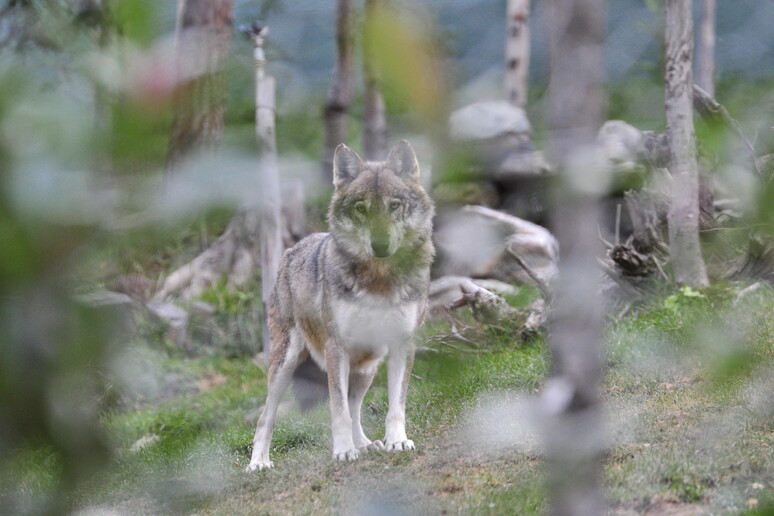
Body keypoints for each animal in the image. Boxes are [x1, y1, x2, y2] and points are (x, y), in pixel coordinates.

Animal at [247, 139, 436, 470]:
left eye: (394, 205)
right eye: (361, 208)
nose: (380, 245)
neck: (379, 281)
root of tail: (294, 248)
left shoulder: (402, 343)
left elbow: (395, 406)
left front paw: (397, 441)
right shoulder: (336, 347)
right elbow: (337, 410)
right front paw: (343, 451)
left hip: (368, 365)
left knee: (355, 406)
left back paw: (367, 445)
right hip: (286, 364)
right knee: (265, 417)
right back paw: (258, 463)